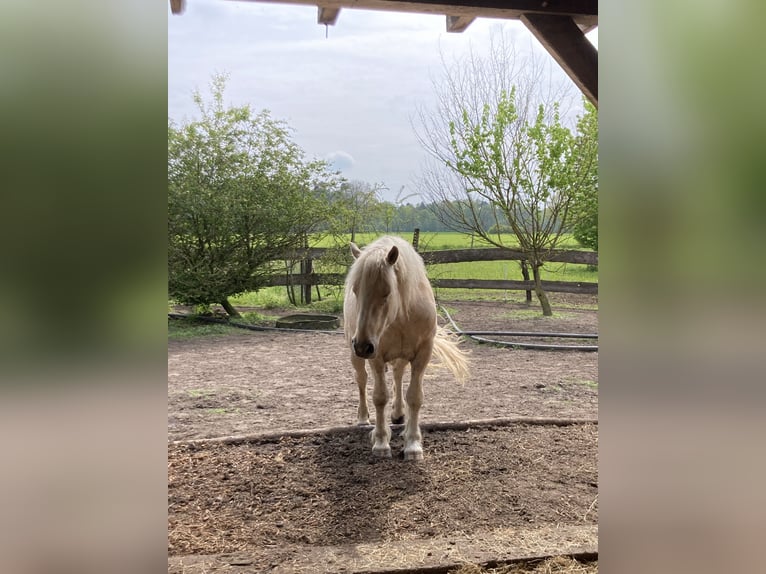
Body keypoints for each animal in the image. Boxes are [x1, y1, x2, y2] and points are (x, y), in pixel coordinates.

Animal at [346, 236, 468, 462]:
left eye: (386, 292)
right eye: (355, 290)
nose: (362, 345)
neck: (402, 317)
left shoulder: (422, 355)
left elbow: (415, 397)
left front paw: (412, 444)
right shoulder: (376, 357)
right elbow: (380, 397)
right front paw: (381, 442)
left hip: (399, 356)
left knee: (398, 374)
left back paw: (398, 414)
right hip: (356, 356)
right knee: (362, 380)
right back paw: (363, 418)